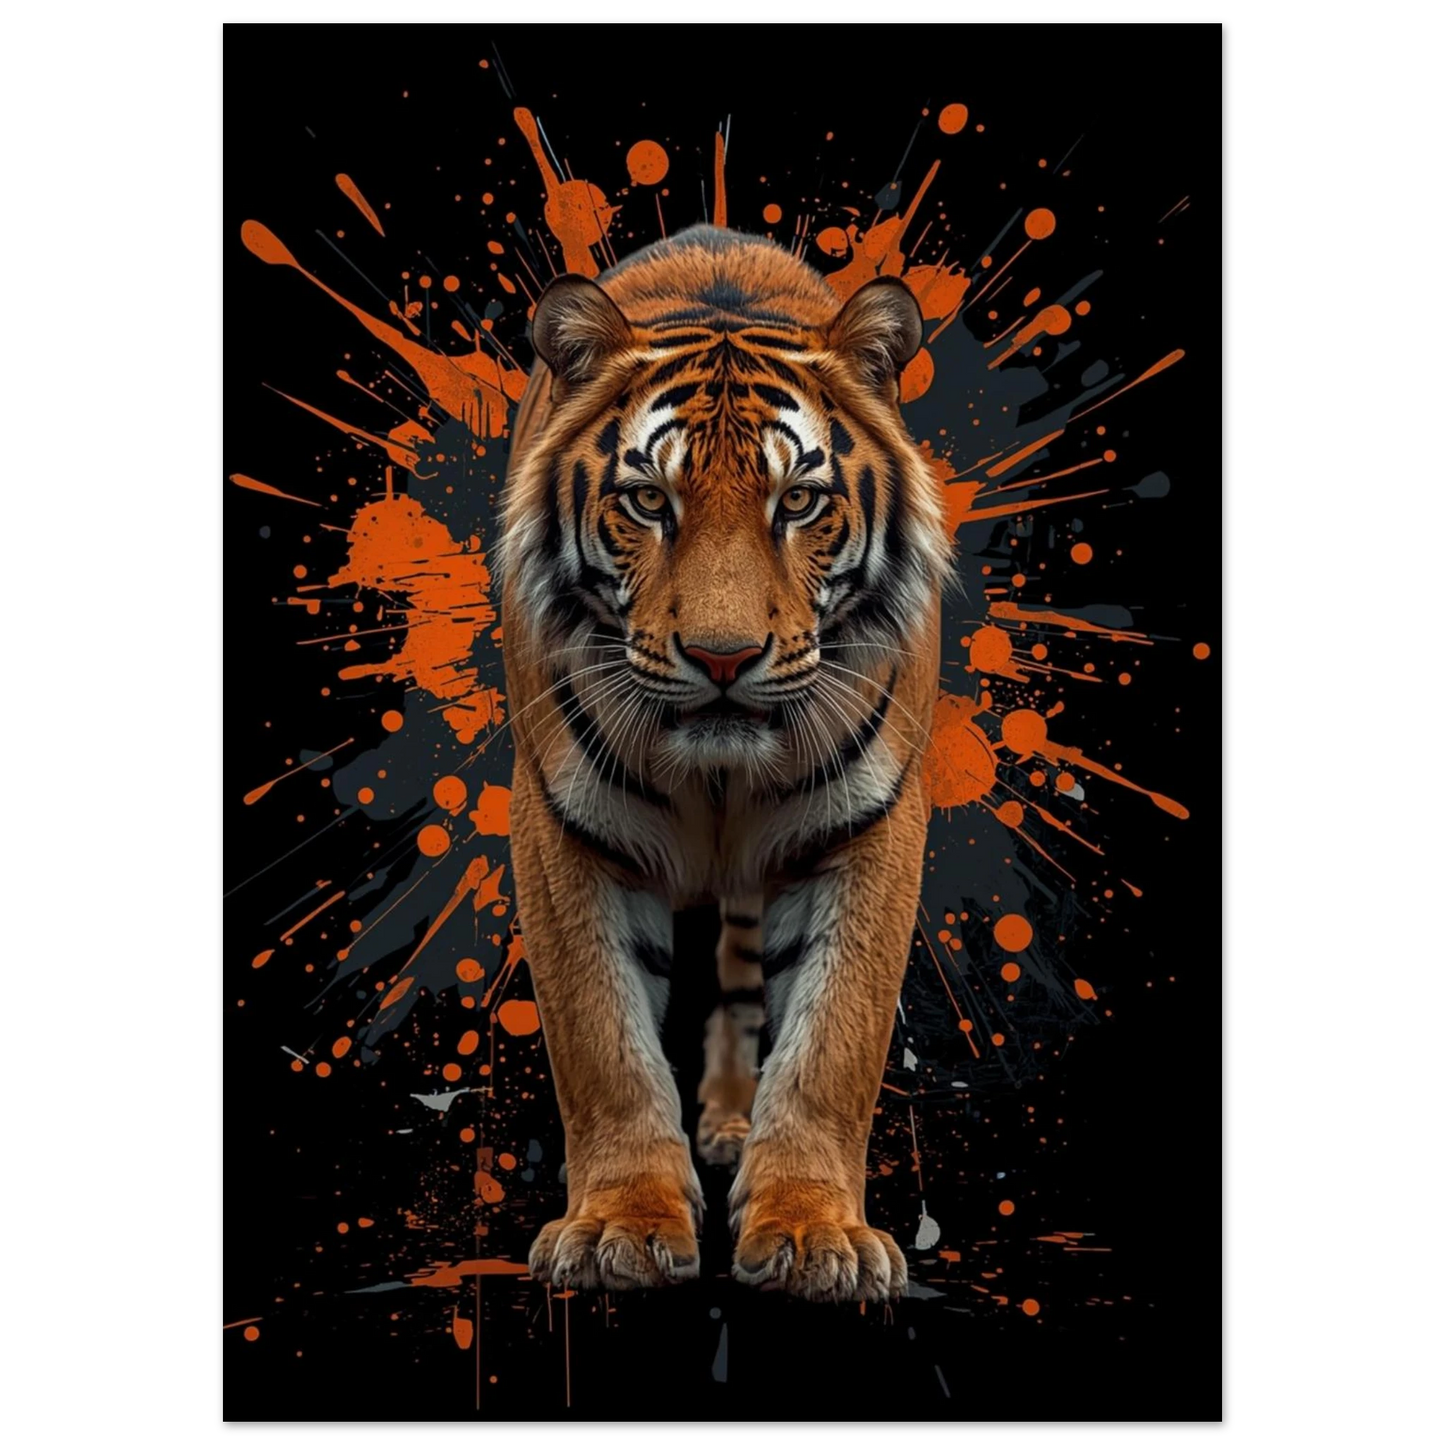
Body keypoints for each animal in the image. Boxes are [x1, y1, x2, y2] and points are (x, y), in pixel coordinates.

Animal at [497, 224, 951, 1303]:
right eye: (645, 501)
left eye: (799, 501)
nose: (720, 656)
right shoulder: (559, 822)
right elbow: (601, 1037)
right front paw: (617, 1227)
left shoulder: (872, 822)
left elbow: (832, 1040)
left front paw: (813, 1232)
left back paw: (738, 1127)